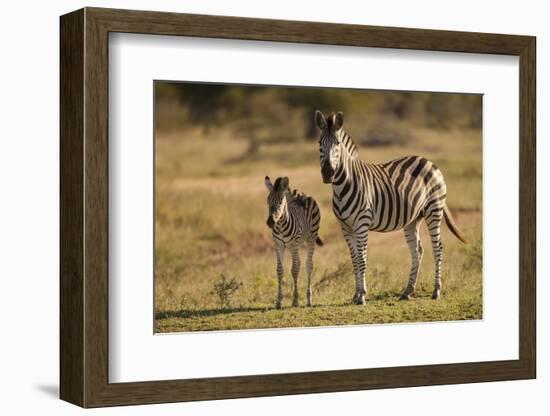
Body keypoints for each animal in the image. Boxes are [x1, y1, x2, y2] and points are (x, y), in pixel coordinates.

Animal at [264, 176, 324, 308]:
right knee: (301, 263)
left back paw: (309, 300)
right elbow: (280, 270)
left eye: (280, 202)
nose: (270, 222)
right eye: (267, 201)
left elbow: (295, 270)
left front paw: (295, 300)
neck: (280, 226)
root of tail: (301, 194)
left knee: (308, 265)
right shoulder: (278, 245)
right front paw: (279, 301)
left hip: (310, 238)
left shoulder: (293, 245)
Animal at [316, 110, 468, 306]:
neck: (342, 187)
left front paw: (362, 295)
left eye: (337, 144)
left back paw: (436, 291)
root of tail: (428, 161)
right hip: (413, 218)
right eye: (320, 143)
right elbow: (354, 260)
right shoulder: (345, 227)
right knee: (417, 250)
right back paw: (407, 291)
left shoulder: (362, 224)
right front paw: (356, 295)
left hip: (434, 210)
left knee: (438, 248)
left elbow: (362, 259)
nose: (328, 173)